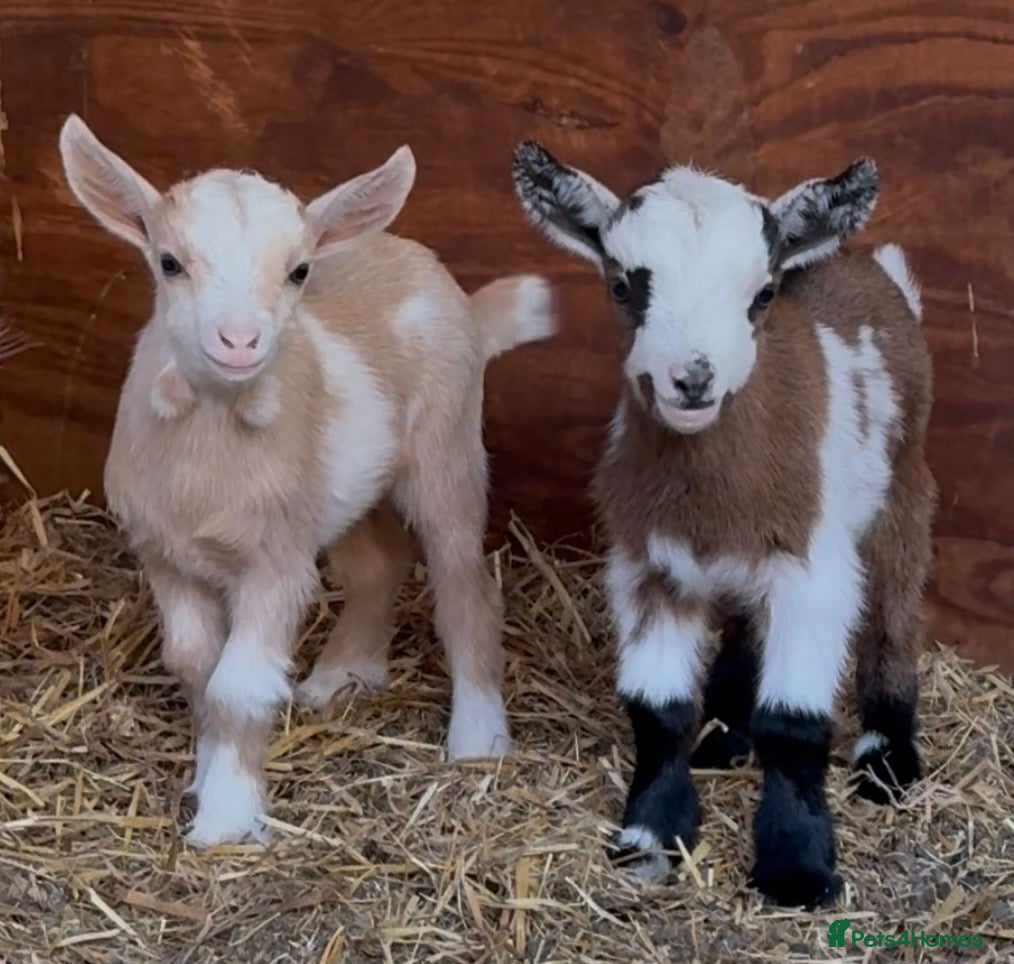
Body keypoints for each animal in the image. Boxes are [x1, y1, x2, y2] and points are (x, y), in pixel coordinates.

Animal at [58, 115, 555, 847]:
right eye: (169, 262)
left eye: (297, 272)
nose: (239, 341)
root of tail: (457, 295)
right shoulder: (165, 556)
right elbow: (195, 666)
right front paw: (204, 779)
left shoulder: (275, 563)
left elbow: (237, 686)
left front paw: (227, 820)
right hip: (340, 491)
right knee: (380, 563)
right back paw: (343, 676)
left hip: (447, 449)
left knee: (465, 586)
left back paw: (477, 739)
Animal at [512, 141, 935, 907]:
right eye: (623, 286)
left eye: (762, 294)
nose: (694, 379)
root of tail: (876, 268)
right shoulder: (646, 566)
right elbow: (657, 709)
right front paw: (649, 835)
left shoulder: (811, 570)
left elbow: (794, 724)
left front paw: (796, 867)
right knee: (745, 623)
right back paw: (725, 734)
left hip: (903, 483)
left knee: (895, 605)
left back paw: (887, 758)